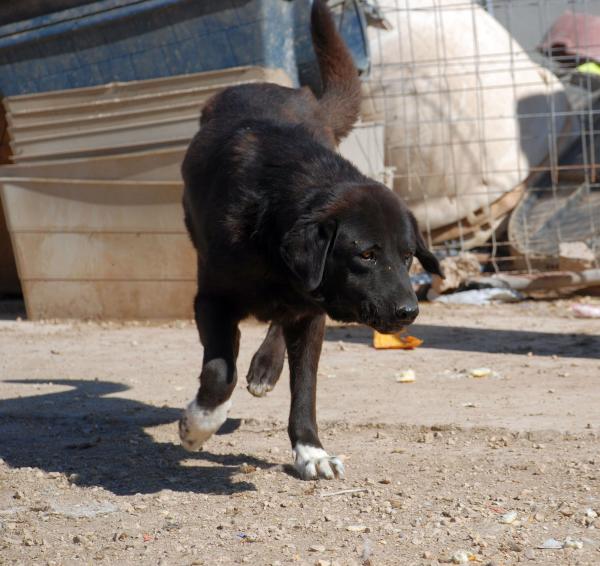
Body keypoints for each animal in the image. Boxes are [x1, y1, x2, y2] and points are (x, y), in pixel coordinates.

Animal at [178, 0, 440, 482]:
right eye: (366, 255)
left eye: (408, 256)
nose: (409, 312)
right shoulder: (211, 300)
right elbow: (219, 372)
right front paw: (197, 425)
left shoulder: (312, 313)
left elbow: (306, 390)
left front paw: (311, 451)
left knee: (281, 325)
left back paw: (266, 366)